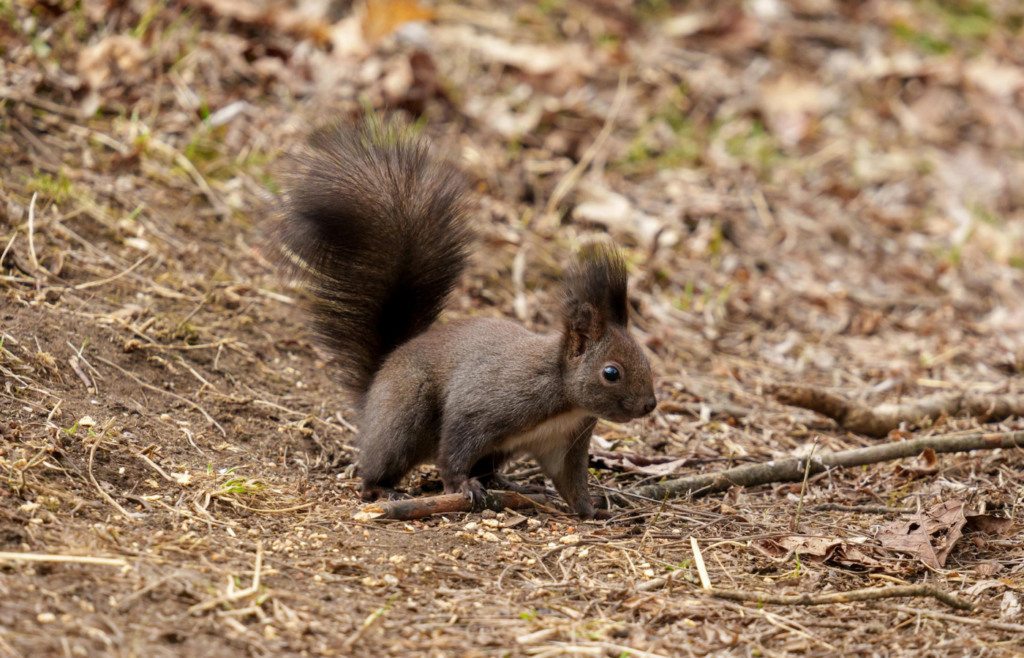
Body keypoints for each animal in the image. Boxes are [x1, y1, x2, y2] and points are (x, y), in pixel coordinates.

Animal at [271, 119, 657, 518]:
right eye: (611, 372)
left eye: (647, 360)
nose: (650, 405)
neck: (563, 395)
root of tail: (379, 379)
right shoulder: (484, 406)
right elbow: (455, 449)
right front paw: (460, 486)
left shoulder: (566, 441)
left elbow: (571, 482)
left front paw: (594, 512)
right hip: (404, 415)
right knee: (379, 466)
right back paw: (385, 489)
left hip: (499, 449)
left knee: (488, 468)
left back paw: (511, 485)